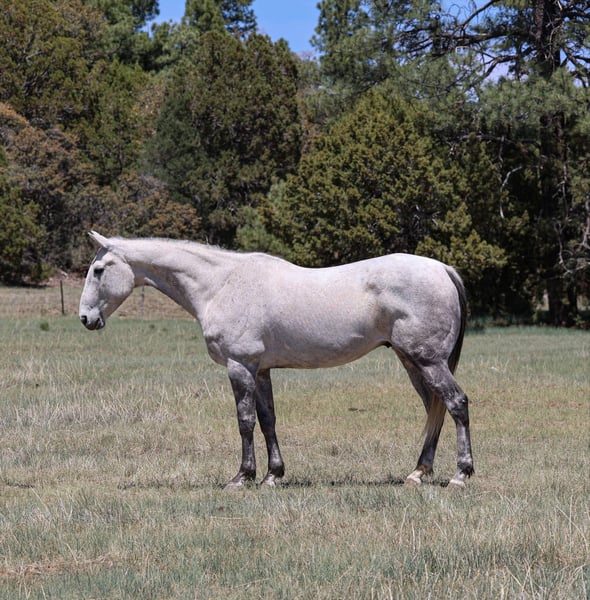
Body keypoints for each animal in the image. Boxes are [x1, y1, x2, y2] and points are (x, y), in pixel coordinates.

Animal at [79, 232, 474, 489]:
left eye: (98, 271)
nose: (85, 318)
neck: (221, 284)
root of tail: (442, 269)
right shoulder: (261, 370)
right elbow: (268, 421)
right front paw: (273, 475)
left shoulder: (240, 366)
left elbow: (245, 422)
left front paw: (242, 477)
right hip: (413, 362)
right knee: (435, 409)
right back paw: (419, 472)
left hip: (428, 361)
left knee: (456, 403)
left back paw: (460, 474)